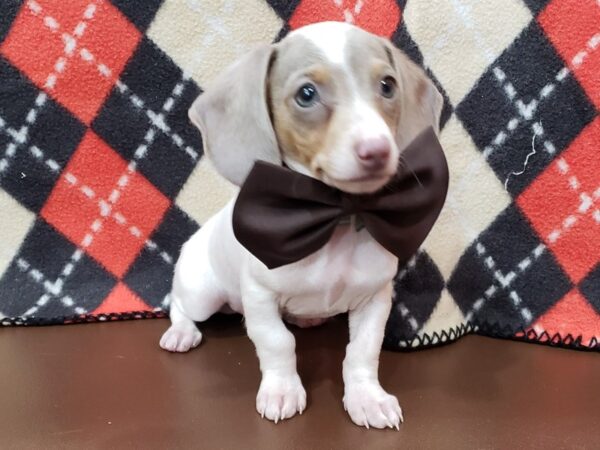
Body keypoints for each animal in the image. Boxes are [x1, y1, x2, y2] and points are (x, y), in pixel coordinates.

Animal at [159, 21, 440, 428]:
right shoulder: (260, 297)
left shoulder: (375, 298)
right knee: (179, 305)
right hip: (201, 294)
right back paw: (180, 332)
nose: (378, 150)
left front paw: (367, 397)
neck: (337, 218)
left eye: (388, 86)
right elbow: (277, 343)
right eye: (307, 94)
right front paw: (281, 391)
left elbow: (363, 350)